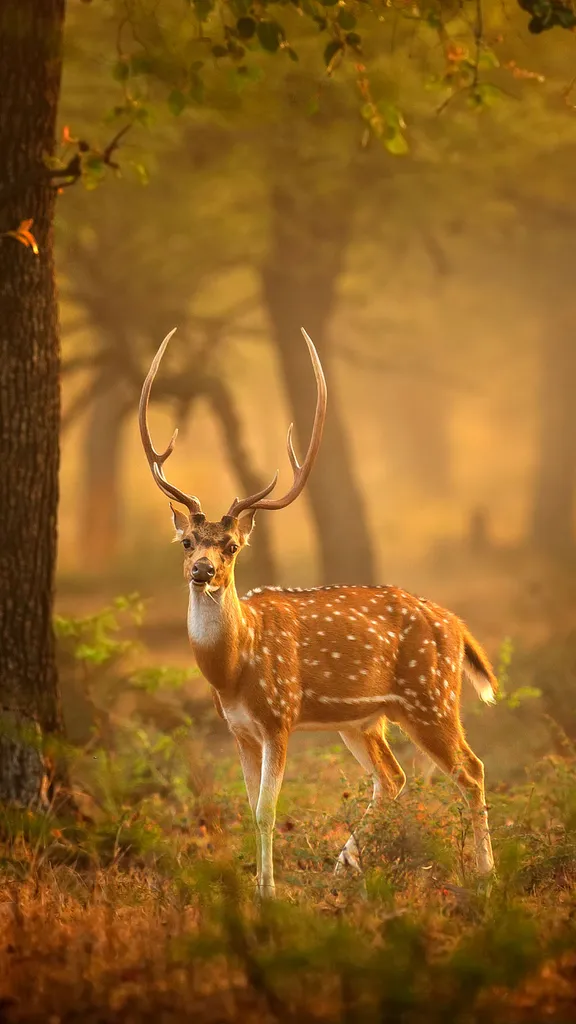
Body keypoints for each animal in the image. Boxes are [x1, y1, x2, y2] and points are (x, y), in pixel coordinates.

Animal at [139, 327, 497, 899]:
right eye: (187, 541)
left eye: (232, 546)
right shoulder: (238, 729)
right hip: (365, 718)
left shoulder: (279, 717)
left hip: (431, 697)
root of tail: (457, 625)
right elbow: (250, 809)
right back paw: (345, 865)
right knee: (393, 777)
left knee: (472, 769)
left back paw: (485, 874)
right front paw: (263, 885)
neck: (233, 669)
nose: (202, 570)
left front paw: (267, 894)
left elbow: (266, 810)